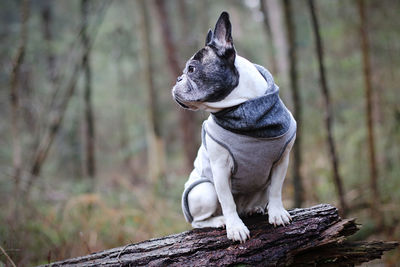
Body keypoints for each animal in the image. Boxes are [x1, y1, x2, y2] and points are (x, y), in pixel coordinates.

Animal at [170, 11, 296, 244]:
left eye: (191, 69)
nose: (178, 78)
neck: (244, 107)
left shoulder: (282, 161)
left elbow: (276, 190)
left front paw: (277, 213)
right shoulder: (220, 169)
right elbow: (227, 200)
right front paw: (235, 227)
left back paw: (253, 209)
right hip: (205, 190)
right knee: (197, 222)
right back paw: (219, 221)